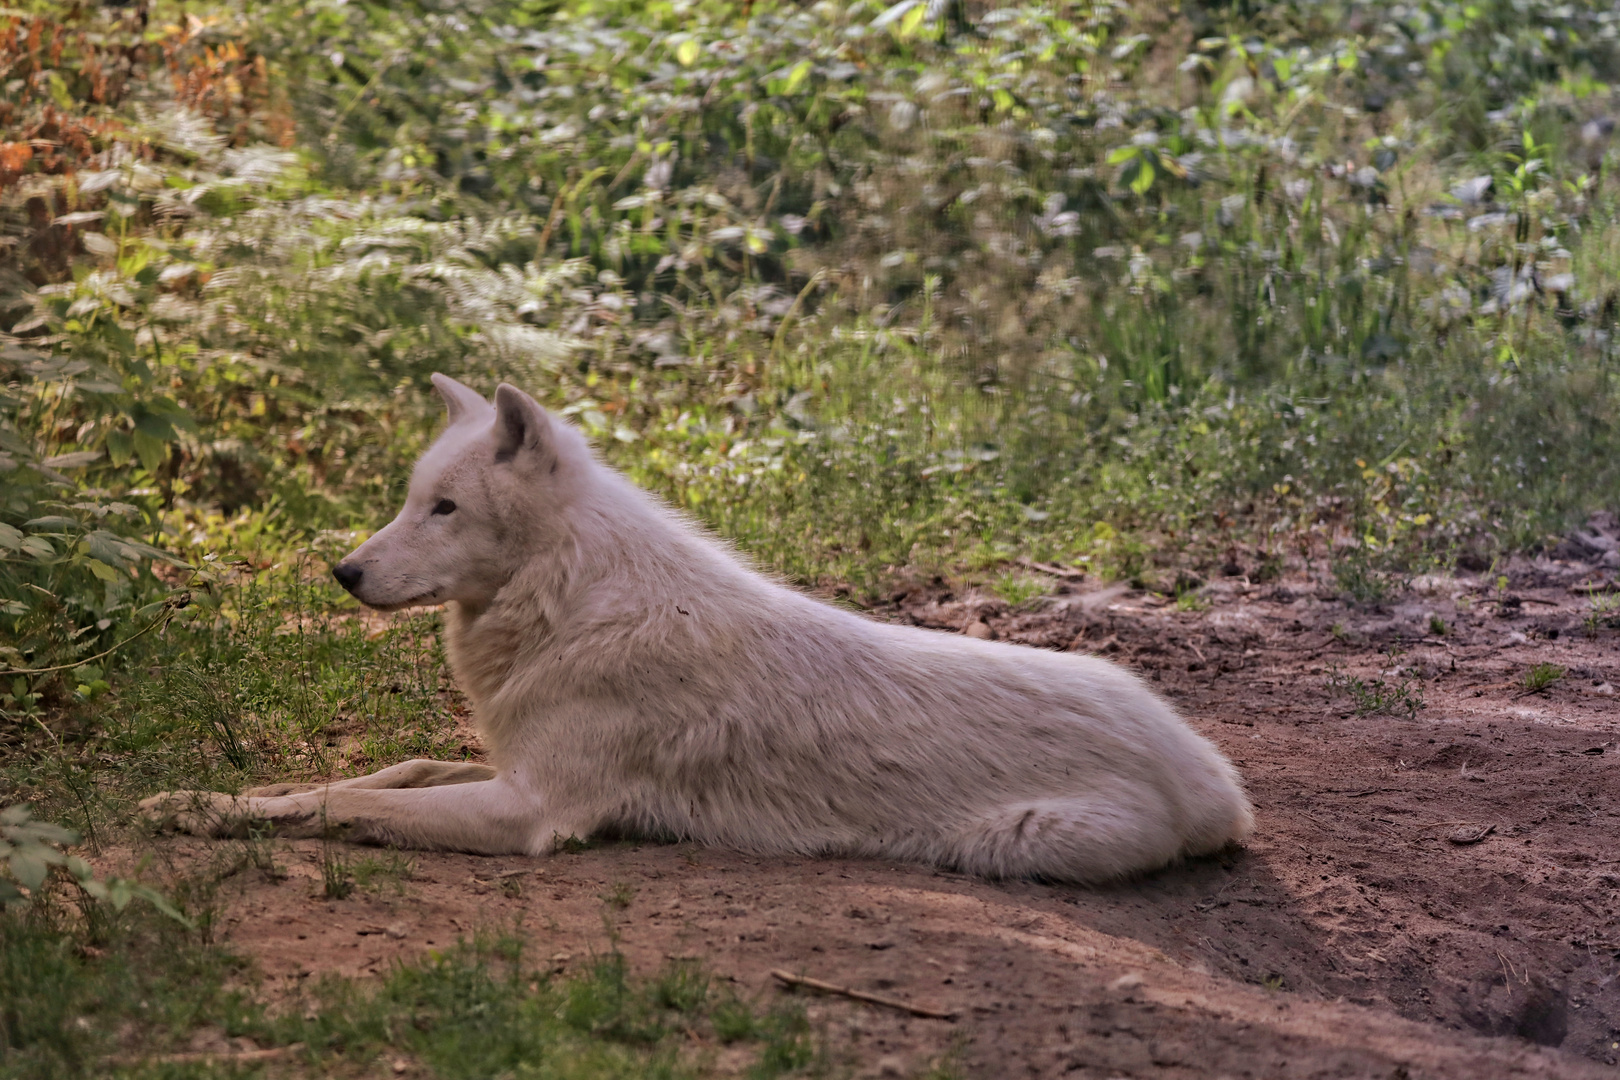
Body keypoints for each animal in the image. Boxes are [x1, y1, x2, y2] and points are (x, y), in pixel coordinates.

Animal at [139, 375, 1250, 880]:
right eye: (412, 502)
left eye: (444, 510)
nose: (345, 572)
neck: (573, 602)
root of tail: (1217, 778)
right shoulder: (506, 765)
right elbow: (383, 773)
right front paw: (202, 799)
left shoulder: (530, 813)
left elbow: (347, 803)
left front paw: (214, 815)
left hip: (1028, 844)